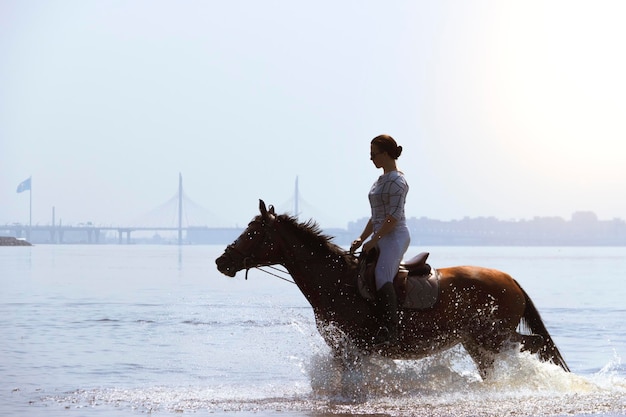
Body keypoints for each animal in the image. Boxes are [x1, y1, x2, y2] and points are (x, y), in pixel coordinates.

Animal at [213, 200, 564, 378]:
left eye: (252, 233)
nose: (221, 261)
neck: (335, 282)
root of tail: (510, 280)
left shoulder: (353, 347)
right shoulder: (343, 349)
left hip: (492, 335)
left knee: (533, 344)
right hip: (475, 341)